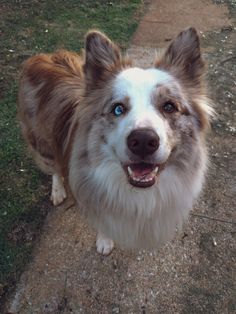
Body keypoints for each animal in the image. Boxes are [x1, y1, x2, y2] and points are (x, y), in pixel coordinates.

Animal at [18, 27, 214, 255]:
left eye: (169, 106)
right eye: (118, 109)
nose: (143, 141)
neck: (136, 193)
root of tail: (43, 57)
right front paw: (104, 241)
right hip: (42, 142)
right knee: (55, 168)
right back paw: (57, 191)